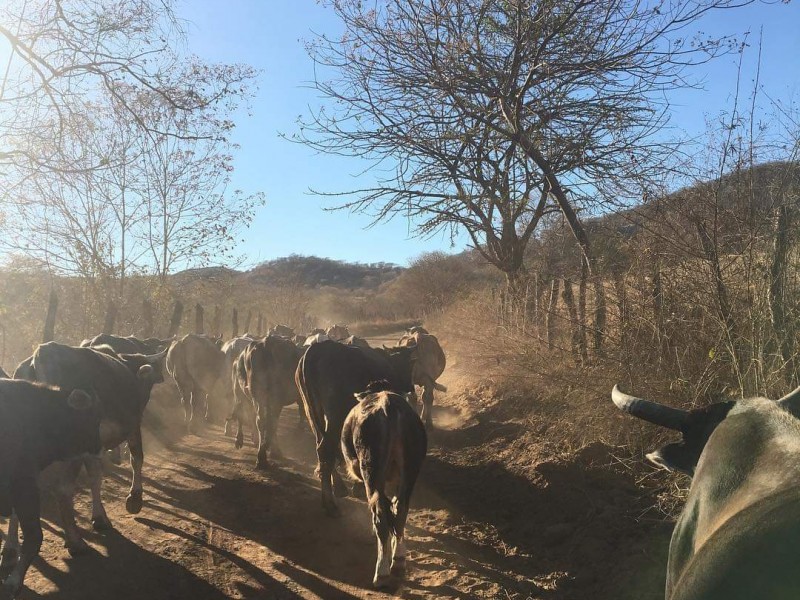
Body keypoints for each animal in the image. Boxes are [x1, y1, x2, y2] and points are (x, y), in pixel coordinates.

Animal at [296, 340, 418, 516]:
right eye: (410, 366)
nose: (411, 388)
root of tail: (319, 348)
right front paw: (359, 486)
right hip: (334, 416)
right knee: (326, 449)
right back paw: (330, 503)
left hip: (312, 413)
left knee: (322, 448)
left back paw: (337, 487)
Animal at [344, 384, 432, 584]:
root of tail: (387, 406)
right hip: (410, 471)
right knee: (401, 510)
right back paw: (398, 560)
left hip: (371, 471)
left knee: (380, 515)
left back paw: (381, 571)